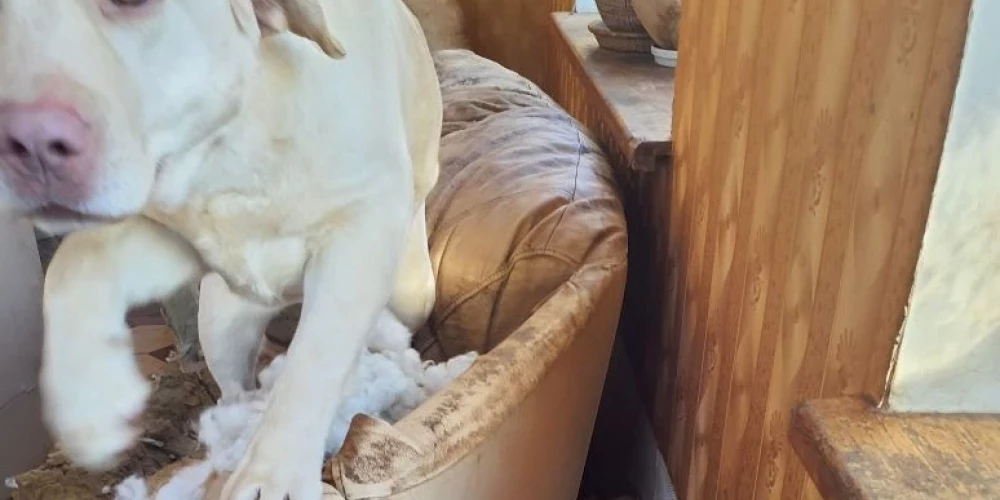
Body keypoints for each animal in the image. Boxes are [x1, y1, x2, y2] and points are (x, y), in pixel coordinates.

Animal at [0, 1, 442, 499]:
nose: (27, 144)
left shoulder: (365, 223)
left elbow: (314, 360)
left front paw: (274, 474)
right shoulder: (174, 236)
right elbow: (73, 259)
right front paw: (92, 405)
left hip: (410, 289)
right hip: (220, 325)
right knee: (234, 387)